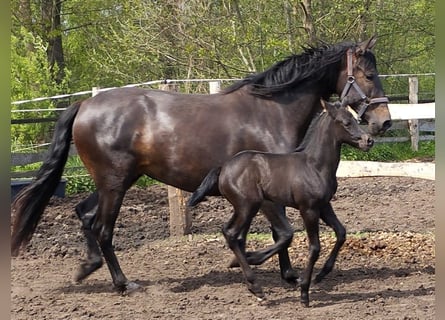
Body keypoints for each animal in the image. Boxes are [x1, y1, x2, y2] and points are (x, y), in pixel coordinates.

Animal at [187, 99, 374, 304]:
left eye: (355, 119)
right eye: (346, 123)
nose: (368, 141)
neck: (314, 166)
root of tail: (223, 167)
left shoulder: (324, 205)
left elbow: (341, 233)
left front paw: (320, 275)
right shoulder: (308, 209)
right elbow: (314, 247)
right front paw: (304, 292)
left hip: (243, 208)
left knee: (229, 232)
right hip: (249, 206)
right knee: (232, 233)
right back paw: (255, 285)